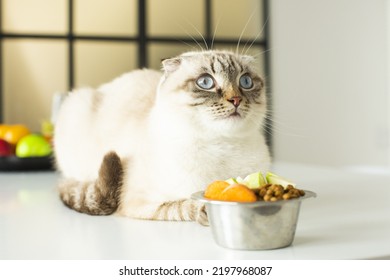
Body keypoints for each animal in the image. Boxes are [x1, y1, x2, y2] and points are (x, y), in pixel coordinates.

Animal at [53, 49, 270, 225]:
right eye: (206, 82)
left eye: (246, 82)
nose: (236, 99)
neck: (222, 145)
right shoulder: (140, 203)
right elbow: (181, 206)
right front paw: (203, 212)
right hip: (76, 105)